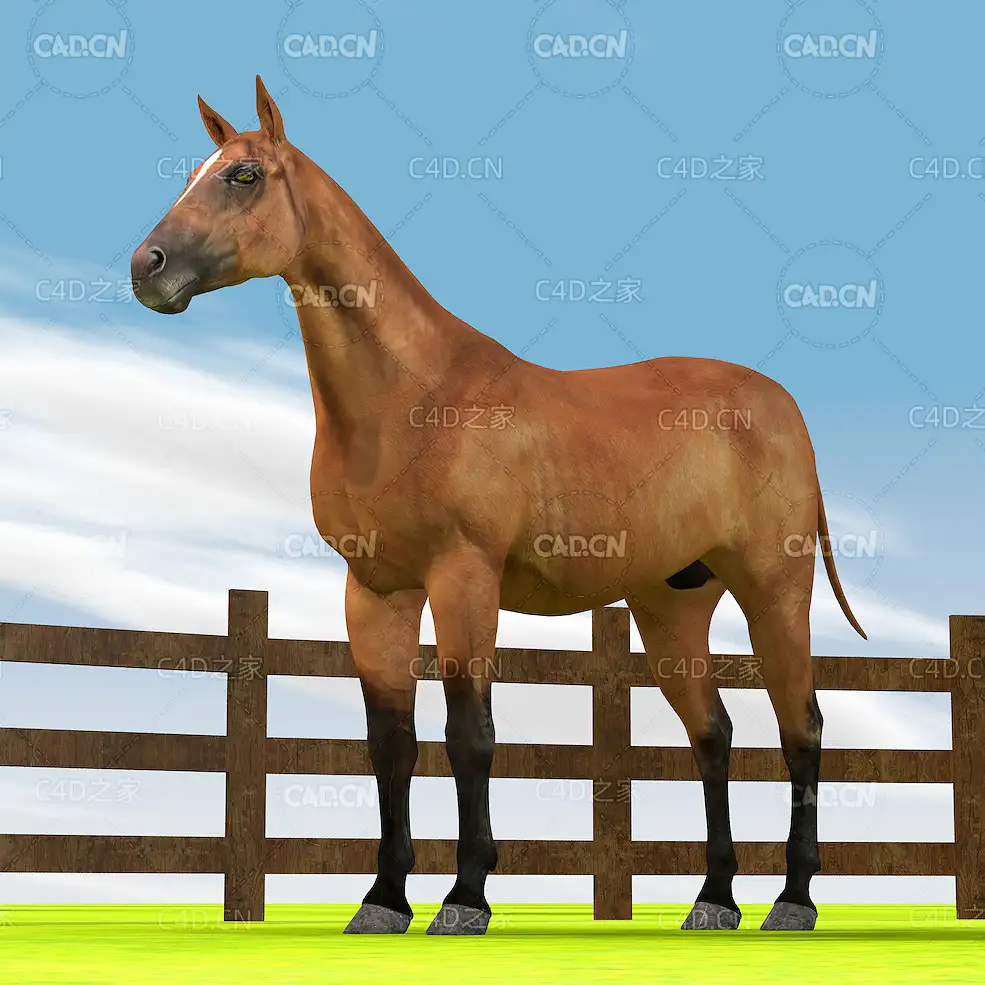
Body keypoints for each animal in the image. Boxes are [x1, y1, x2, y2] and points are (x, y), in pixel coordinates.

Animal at [131, 76, 866, 936]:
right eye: (192, 173)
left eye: (243, 176)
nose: (147, 268)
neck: (412, 395)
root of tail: (778, 402)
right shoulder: (374, 589)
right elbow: (391, 742)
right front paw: (383, 899)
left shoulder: (463, 577)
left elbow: (468, 735)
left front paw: (464, 896)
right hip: (671, 605)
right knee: (711, 733)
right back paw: (713, 897)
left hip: (773, 589)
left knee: (800, 726)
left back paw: (793, 898)